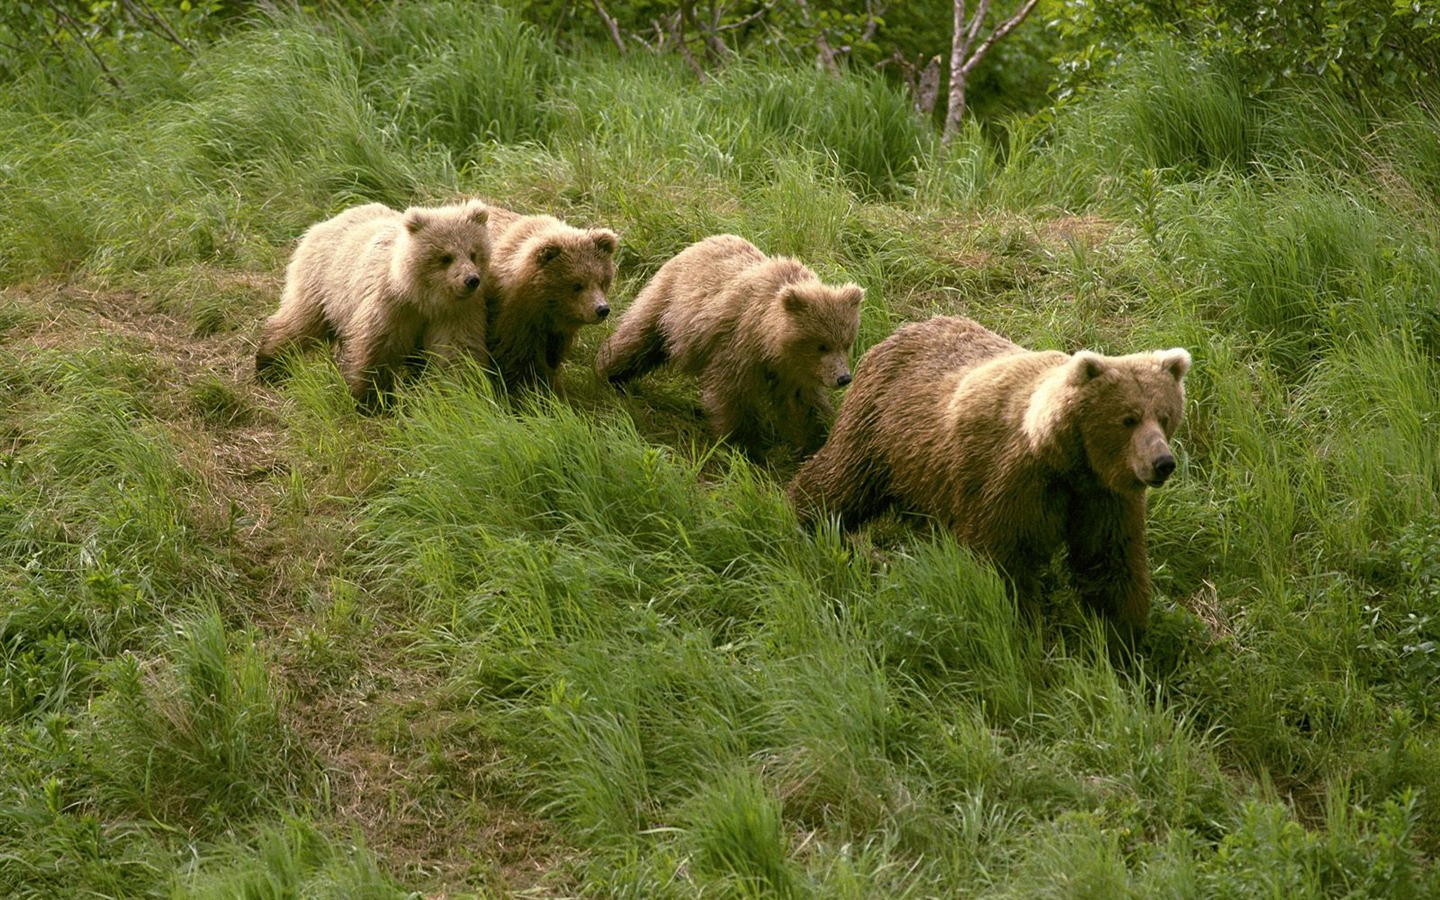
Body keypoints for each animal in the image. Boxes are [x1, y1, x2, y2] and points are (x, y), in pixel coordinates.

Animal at [253, 197, 489, 411]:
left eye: (474, 253)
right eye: (445, 257)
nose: (471, 280)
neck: (423, 298)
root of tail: (326, 222)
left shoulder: (455, 313)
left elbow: (457, 352)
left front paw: (462, 395)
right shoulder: (390, 306)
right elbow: (375, 349)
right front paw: (372, 402)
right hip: (322, 285)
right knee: (300, 323)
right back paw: (268, 365)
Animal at [483, 208, 619, 394]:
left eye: (602, 281)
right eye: (577, 285)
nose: (602, 309)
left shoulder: (555, 333)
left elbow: (552, 358)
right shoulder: (513, 320)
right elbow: (517, 359)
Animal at [590, 233, 858, 455]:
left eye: (846, 343)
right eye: (822, 345)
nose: (844, 378)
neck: (770, 342)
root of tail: (701, 241)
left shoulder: (795, 372)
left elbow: (804, 404)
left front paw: (816, 440)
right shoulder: (738, 344)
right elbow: (730, 392)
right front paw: (744, 444)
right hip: (669, 304)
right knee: (639, 336)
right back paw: (609, 371)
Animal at [794, 315, 1186, 630]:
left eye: (1164, 416)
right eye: (1128, 419)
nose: (1162, 462)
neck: (1064, 462)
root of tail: (900, 330)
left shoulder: (1100, 498)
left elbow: (1110, 564)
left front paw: (1123, 638)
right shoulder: (1009, 484)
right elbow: (1003, 566)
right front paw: (1022, 627)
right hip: (879, 431)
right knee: (840, 481)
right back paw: (808, 518)